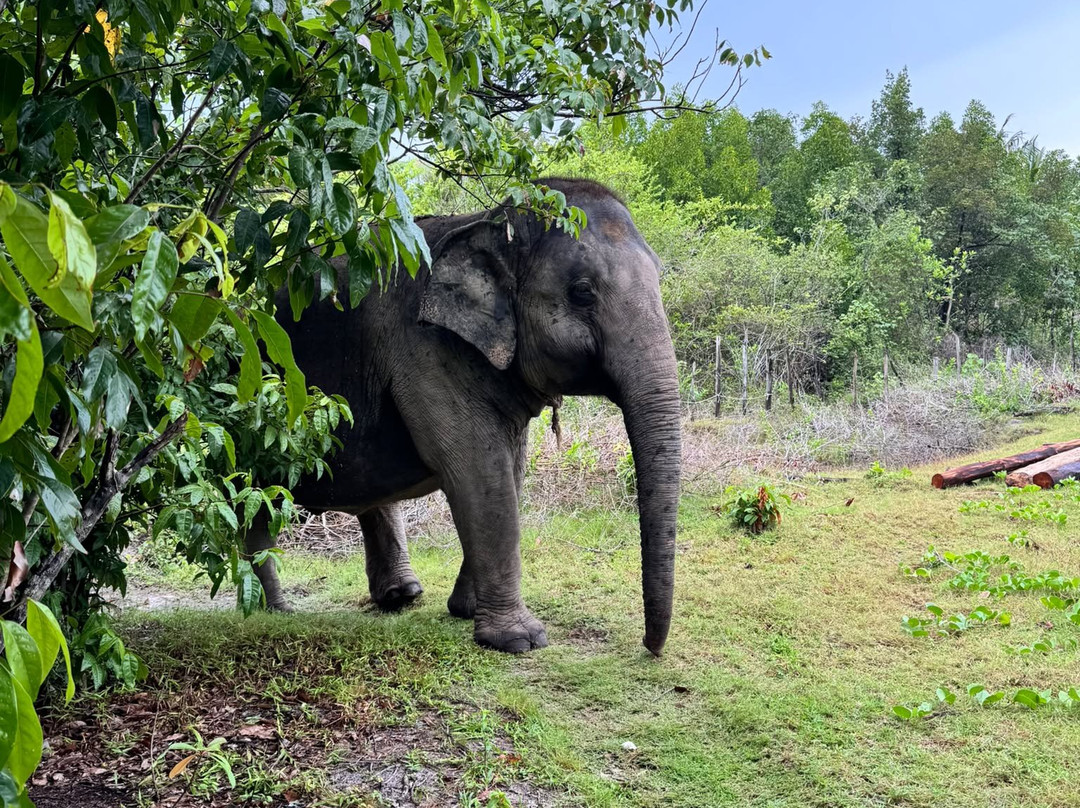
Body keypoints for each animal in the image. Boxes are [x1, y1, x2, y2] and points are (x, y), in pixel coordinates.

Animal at [245, 178, 681, 655]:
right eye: (582, 291)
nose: (650, 647)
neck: (490, 223)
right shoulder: (426, 352)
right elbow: (480, 469)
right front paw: (520, 640)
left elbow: (510, 468)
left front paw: (466, 611)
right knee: (252, 500)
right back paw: (275, 612)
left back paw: (400, 597)